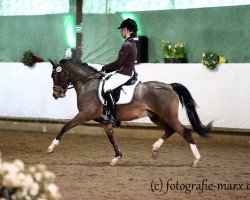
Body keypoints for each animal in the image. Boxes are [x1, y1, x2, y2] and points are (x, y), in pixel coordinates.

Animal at [47, 58, 213, 166]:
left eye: (55, 75)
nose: (55, 95)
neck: (88, 84)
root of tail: (170, 86)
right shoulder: (104, 121)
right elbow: (112, 138)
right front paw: (116, 157)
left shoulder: (85, 114)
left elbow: (65, 126)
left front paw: (51, 147)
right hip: (156, 117)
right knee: (170, 130)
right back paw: (155, 150)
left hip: (168, 116)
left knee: (185, 132)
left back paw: (196, 159)